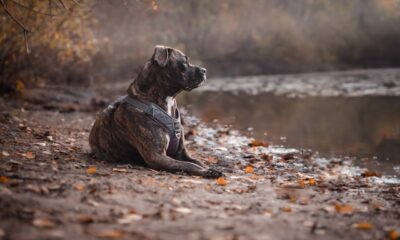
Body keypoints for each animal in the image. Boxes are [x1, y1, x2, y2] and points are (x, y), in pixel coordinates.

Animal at [88, 46, 223, 179]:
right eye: (184, 62)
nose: (204, 70)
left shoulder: (181, 153)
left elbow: (198, 162)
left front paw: (208, 167)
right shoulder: (156, 156)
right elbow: (188, 165)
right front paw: (207, 171)